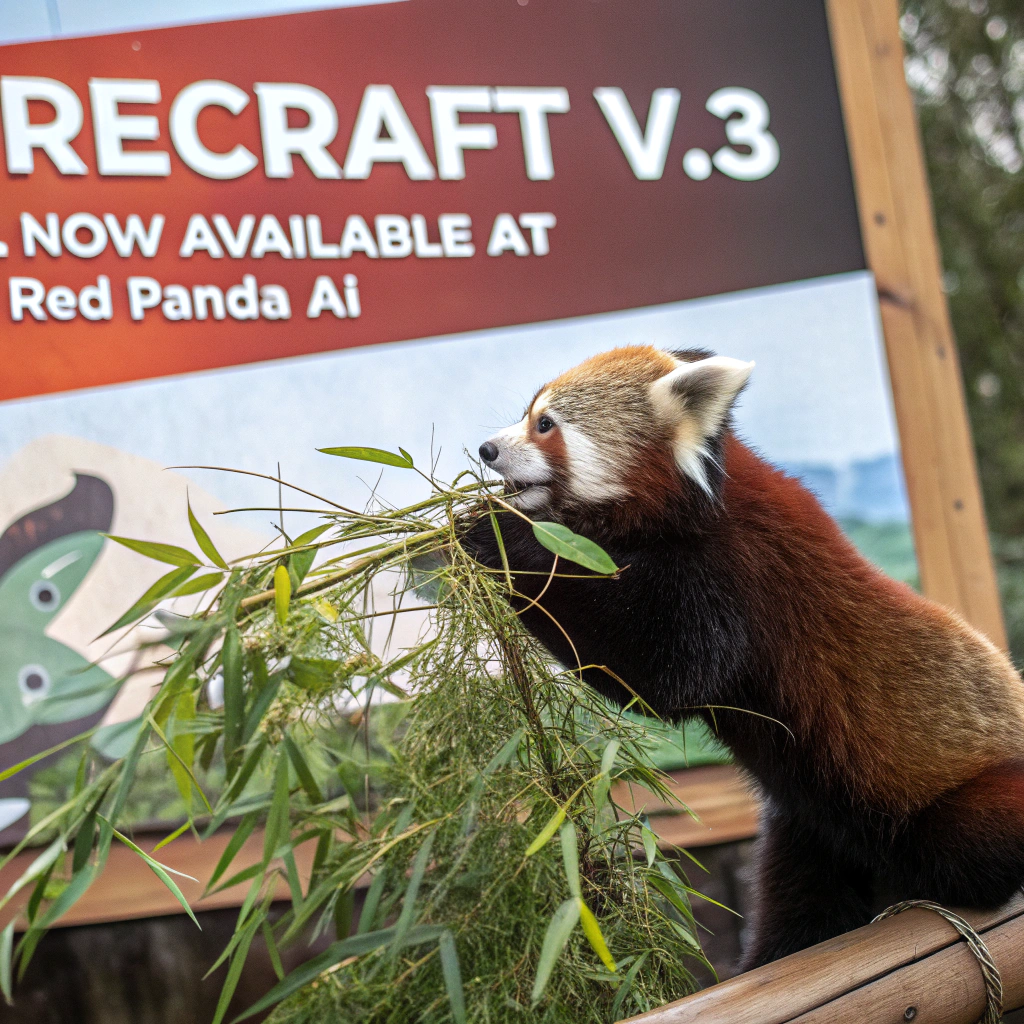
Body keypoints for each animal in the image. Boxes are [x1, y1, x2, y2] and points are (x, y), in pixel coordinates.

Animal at [464, 344, 1024, 970]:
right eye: (526, 414)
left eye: (546, 425)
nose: (487, 449)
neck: (695, 501)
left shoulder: (736, 574)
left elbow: (664, 670)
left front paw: (494, 530)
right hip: (810, 829)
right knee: (802, 908)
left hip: (957, 799)